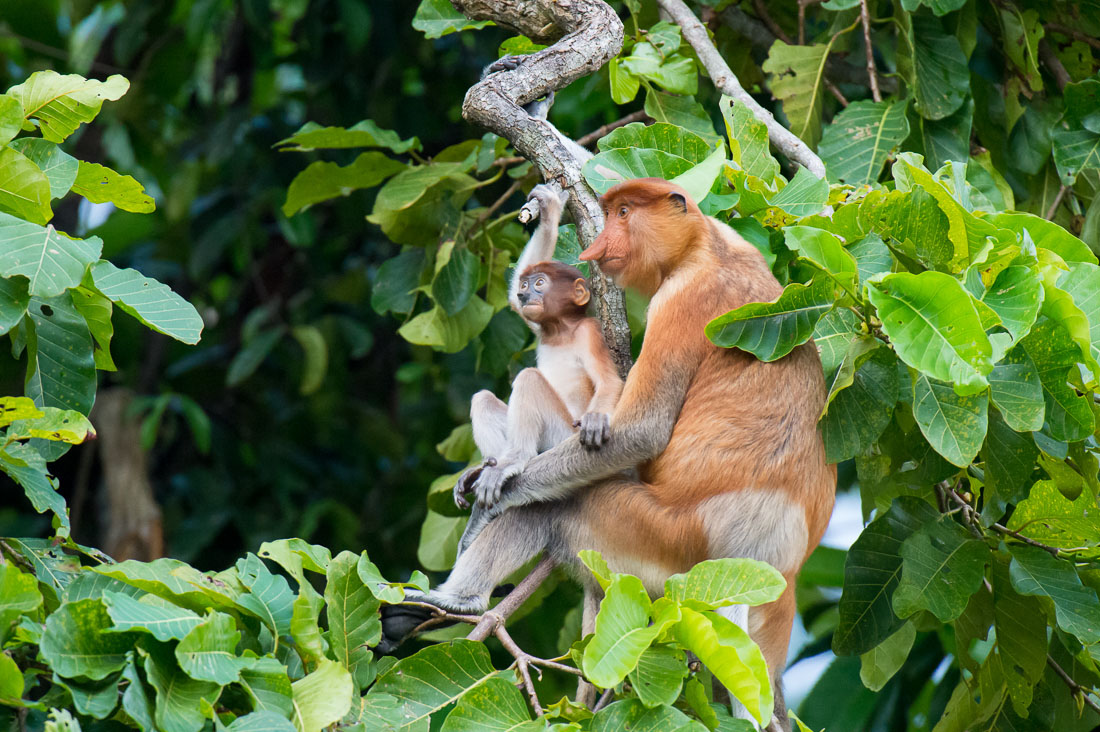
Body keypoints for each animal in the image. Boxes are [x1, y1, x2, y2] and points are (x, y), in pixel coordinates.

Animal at [453, 183, 624, 519]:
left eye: (540, 283)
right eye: (524, 284)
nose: (525, 294)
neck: (560, 330)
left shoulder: (588, 332)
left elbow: (610, 381)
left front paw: (596, 419)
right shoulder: (540, 327)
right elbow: (512, 304)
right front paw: (549, 211)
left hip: (561, 436)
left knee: (529, 379)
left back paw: (513, 460)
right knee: (483, 398)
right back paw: (489, 466)